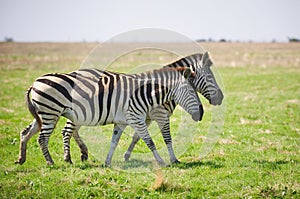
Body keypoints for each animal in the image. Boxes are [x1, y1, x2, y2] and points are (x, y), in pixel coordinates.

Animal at [14, 66, 202, 166]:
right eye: (192, 92)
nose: (201, 114)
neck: (144, 94)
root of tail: (35, 83)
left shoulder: (121, 122)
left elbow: (114, 142)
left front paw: (107, 162)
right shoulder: (137, 119)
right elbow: (150, 141)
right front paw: (163, 162)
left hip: (42, 114)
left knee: (26, 133)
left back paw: (21, 159)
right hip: (50, 113)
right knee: (42, 138)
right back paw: (51, 162)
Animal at [61, 51, 223, 166]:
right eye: (210, 77)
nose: (221, 98)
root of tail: (75, 72)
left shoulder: (146, 117)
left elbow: (136, 137)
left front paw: (126, 156)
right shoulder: (160, 115)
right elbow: (166, 138)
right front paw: (173, 159)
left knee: (73, 130)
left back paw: (83, 153)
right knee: (67, 130)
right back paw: (68, 158)